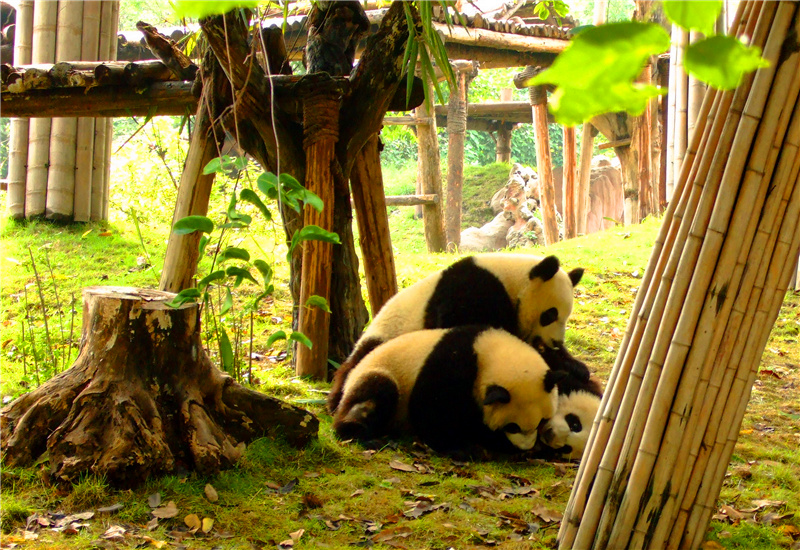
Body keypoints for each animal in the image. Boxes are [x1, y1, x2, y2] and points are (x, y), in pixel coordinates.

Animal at [328, 253, 583, 413]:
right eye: (550, 314)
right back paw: (337, 400)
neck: (512, 278)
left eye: (566, 316)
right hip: (384, 337)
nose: (556, 341)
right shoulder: (473, 289)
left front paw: (573, 365)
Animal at [331, 325, 567, 453]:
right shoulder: (452, 362)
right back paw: (361, 433)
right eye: (513, 427)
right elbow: (431, 407)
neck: (488, 351)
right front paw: (465, 447)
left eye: (542, 421)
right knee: (378, 392)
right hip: (379, 374)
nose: (525, 447)